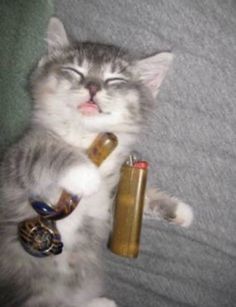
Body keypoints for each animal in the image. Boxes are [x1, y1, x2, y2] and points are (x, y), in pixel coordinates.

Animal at [0, 17, 192, 307]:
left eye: (114, 79)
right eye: (75, 71)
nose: (92, 86)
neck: (85, 137)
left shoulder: (108, 201)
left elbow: (134, 199)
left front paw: (178, 210)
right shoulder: (15, 159)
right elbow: (44, 153)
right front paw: (85, 174)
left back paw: (101, 302)